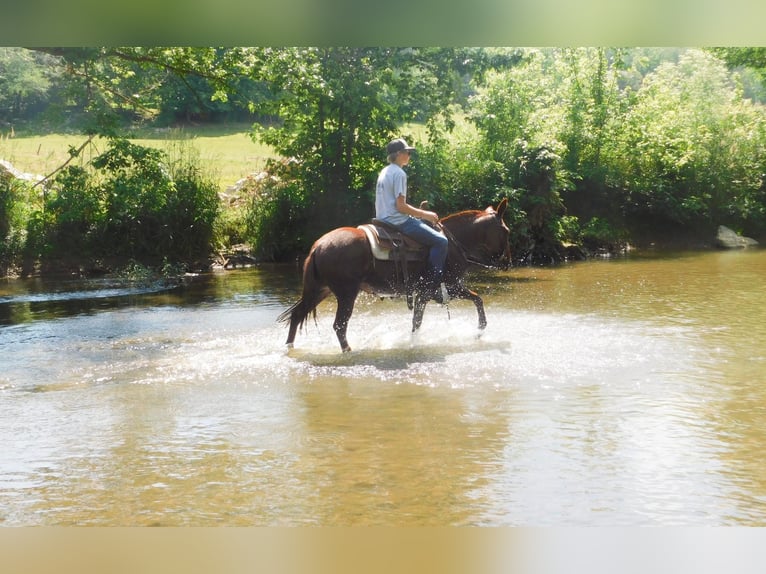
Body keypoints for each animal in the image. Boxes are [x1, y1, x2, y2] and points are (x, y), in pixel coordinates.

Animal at [280, 198, 510, 354]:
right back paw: (348, 351)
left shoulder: (441, 290)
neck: (452, 244)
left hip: (319, 290)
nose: (508, 262)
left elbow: (475, 299)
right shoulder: (440, 289)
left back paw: (289, 347)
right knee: (339, 325)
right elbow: (420, 320)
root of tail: (318, 247)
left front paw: (479, 331)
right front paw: (479, 330)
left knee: (297, 315)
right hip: (346, 294)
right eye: (506, 231)